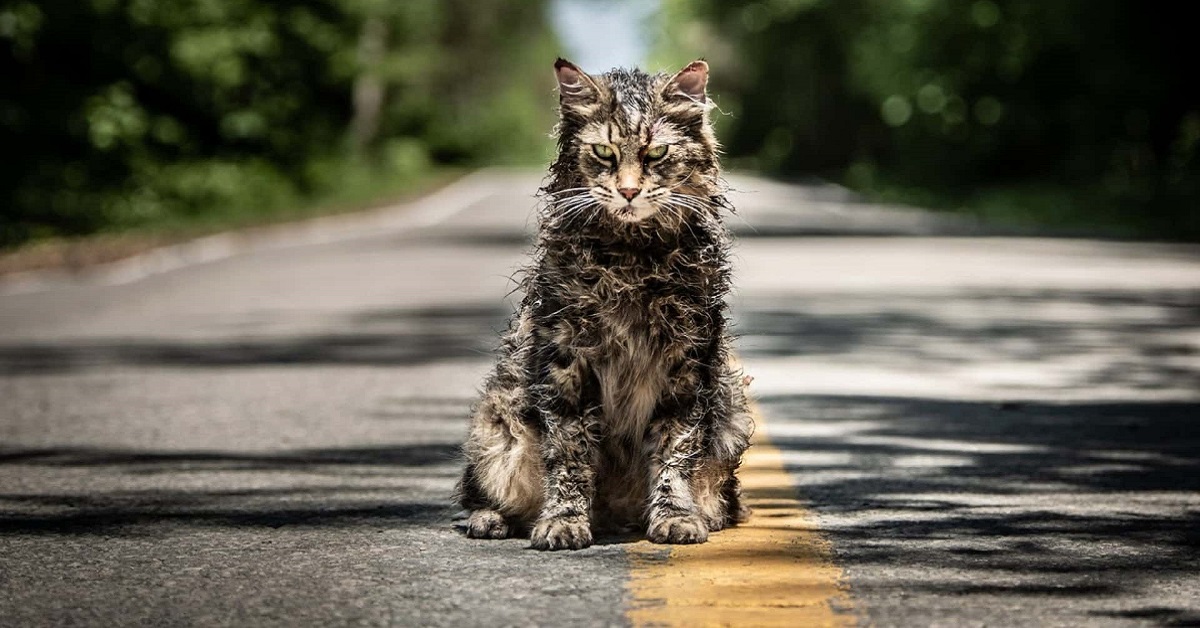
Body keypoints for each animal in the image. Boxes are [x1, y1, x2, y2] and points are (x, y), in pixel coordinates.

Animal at [456, 58, 748, 549]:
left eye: (655, 154)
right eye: (604, 153)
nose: (628, 192)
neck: (631, 260)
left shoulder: (688, 364)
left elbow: (675, 451)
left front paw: (675, 516)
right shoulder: (566, 361)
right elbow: (570, 454)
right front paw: (564, 521)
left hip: (732, 414)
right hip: (497, 423)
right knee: (482, 492)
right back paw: (491, 519)